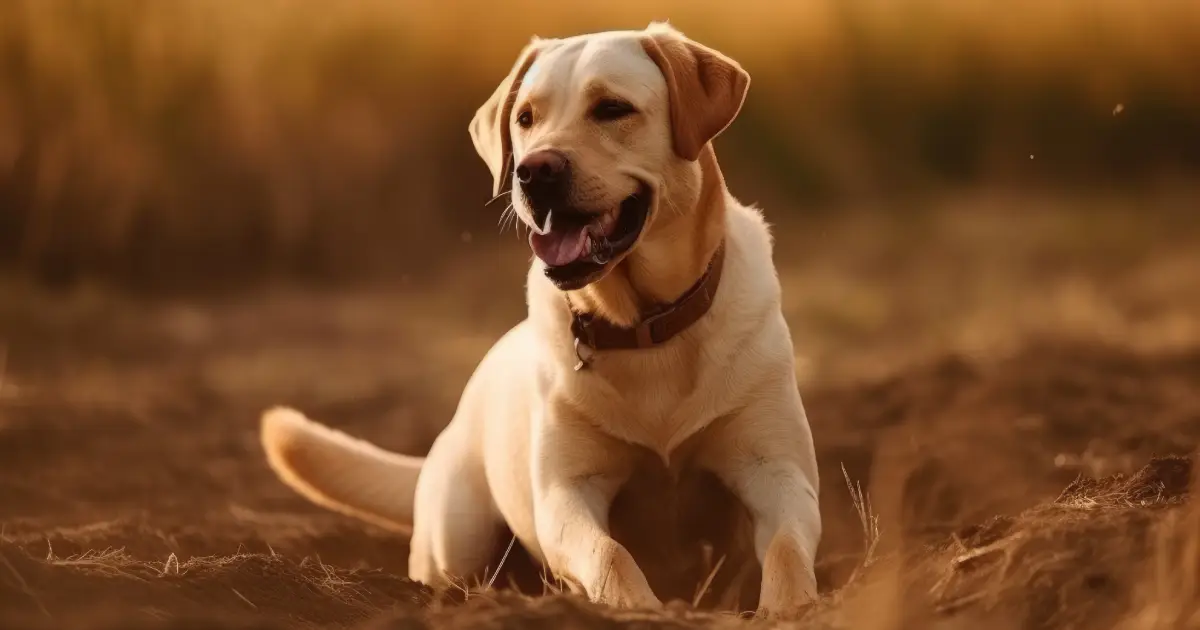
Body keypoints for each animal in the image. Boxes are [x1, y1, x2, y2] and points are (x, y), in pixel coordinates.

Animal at [260, 22, 825, 614]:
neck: (643, 324)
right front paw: (640, 608)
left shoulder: (776, 469)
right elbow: (609, 554)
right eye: (525, 118)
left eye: (612, 108)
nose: (534, 171)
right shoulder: (565, 494)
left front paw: (790, 608)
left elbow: (787, 547)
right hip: (457, 535)